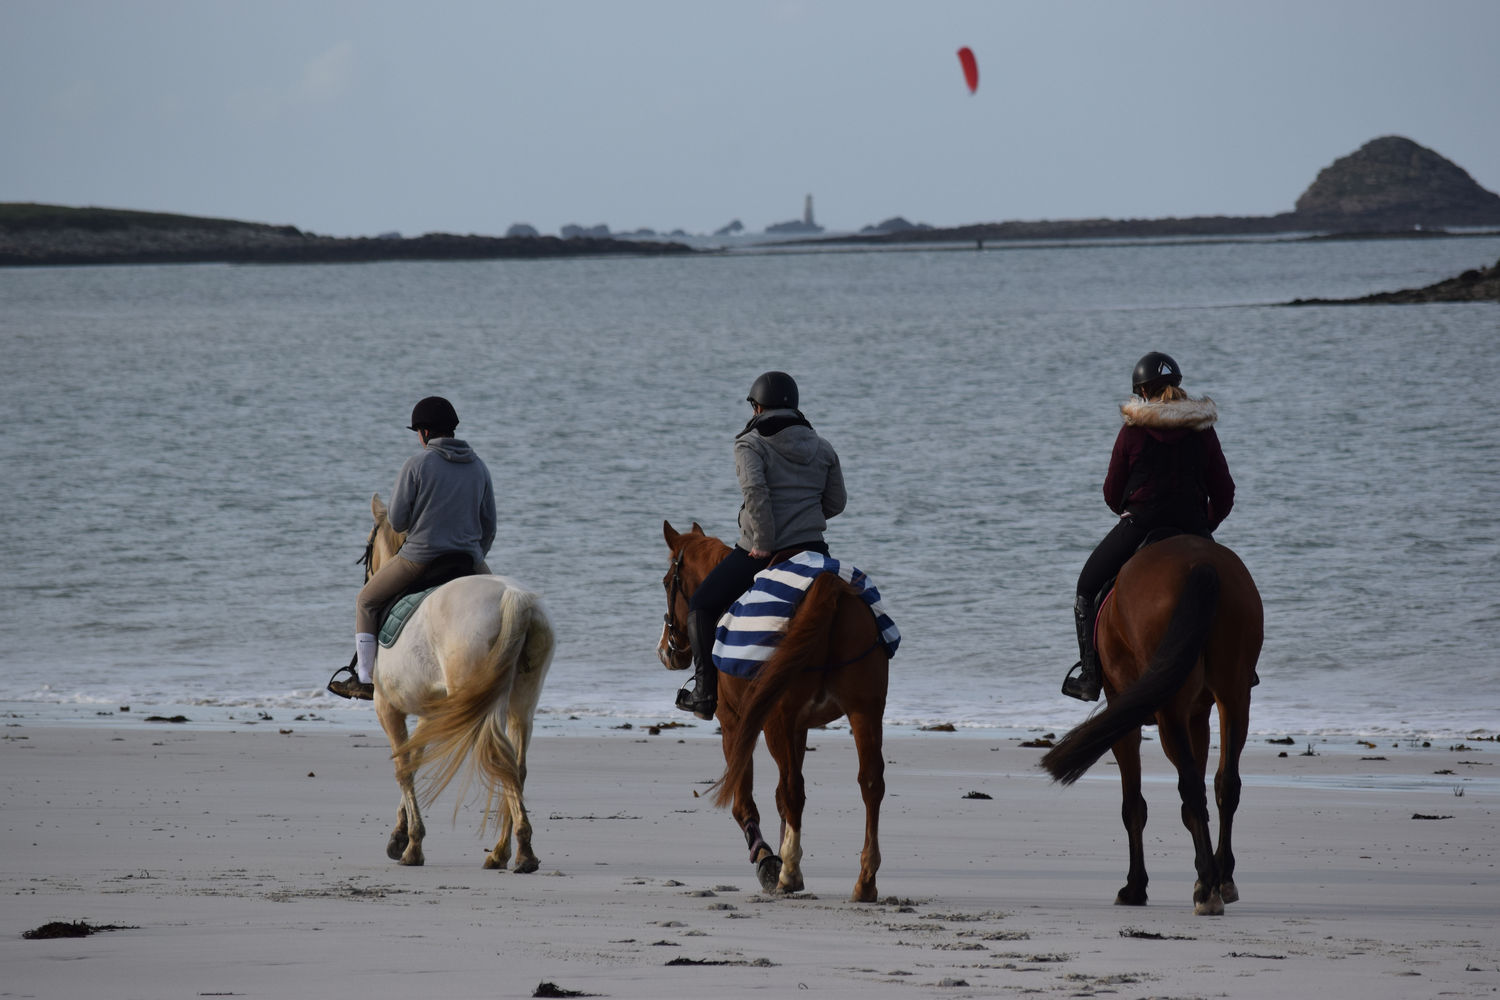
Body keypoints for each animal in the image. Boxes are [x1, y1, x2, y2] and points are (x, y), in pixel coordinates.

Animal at [360, 497, 555, 869]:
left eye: (367, 548)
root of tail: (513, 597)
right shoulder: (433, 713)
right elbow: (414, 758)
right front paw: (400, 836)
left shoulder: (387, 707)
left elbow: (404, 767)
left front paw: (412, 846)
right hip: (520, 703)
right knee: (515, 765)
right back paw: (507, 852)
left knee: (499, 759)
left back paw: (517, 852)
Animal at [660, 521, 888, 905]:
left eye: (666, 582)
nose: (666, 650)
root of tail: (829, 587)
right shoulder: (799, 727)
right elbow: (782, 802)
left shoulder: (736, 723)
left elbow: (745, 800)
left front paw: (768, 859)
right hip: (865, 711)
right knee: (869, 783)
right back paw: (865, 880)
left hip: (775, 721)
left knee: (793, 788)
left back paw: (789, 874)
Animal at [1044, 536, 1266, 917]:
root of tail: (1200, 563)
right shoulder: (1197, 716)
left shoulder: (1124, 712)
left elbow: (1133, 805)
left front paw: (1134, 887)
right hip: (1234, 694)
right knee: (1225, 784)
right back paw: (1221, 878)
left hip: (1169, 709)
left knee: (1190, 786)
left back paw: (1206, 889)